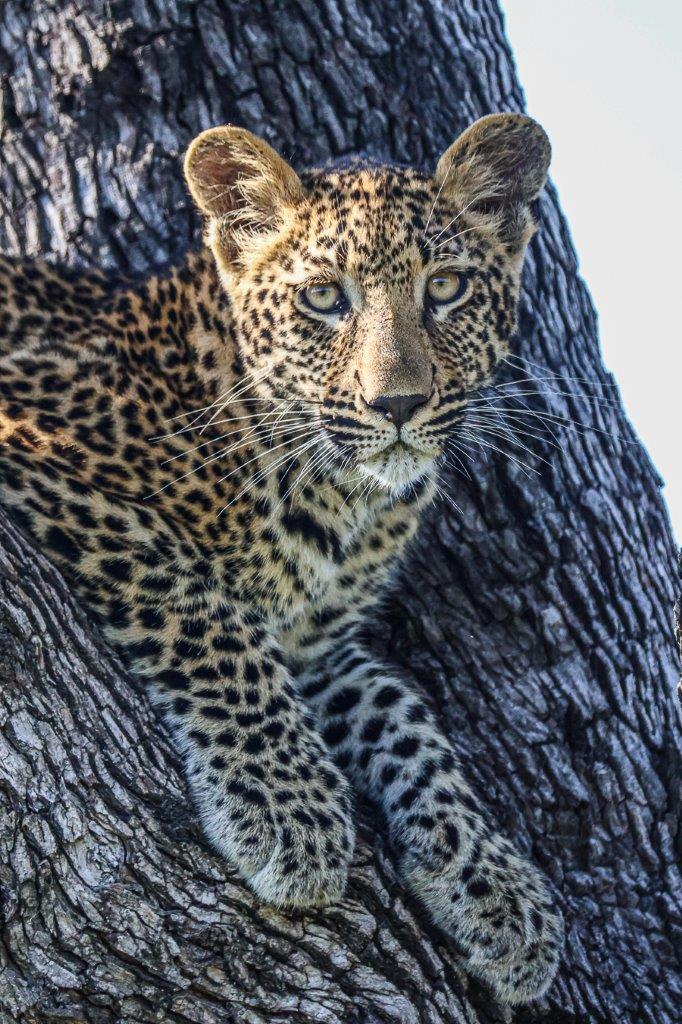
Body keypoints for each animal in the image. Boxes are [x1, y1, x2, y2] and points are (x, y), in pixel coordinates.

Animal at [0, 112, 564, 1005]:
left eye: (445, 288)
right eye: (324, 298)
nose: (398, 405)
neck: (336, 498)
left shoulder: (318, 649)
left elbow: (405, 714)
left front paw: (492, 883)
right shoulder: (32, 448)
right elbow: (202, 616)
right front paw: (287, 810)